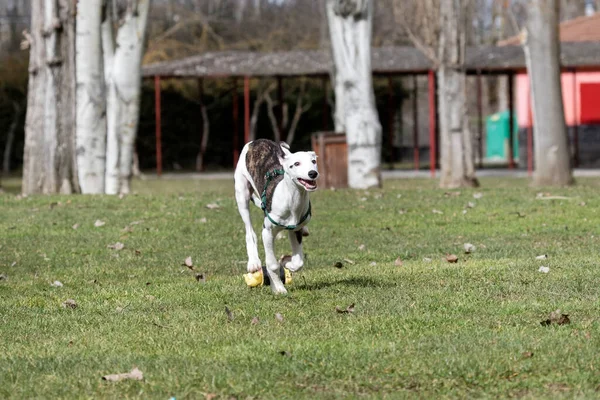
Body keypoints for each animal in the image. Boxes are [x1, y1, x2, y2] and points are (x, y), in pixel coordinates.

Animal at [233, 140, 318, 294]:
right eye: (296, 164)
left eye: (313, 161)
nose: (313, 173)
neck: (292, 198)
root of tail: (257, 141)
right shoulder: (267, 232)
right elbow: (272, 264)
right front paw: (278, 288)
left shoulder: (294, 229)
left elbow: (298, 262)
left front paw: (286, 262)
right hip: (242, 194)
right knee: (249, 231)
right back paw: (253, 262)